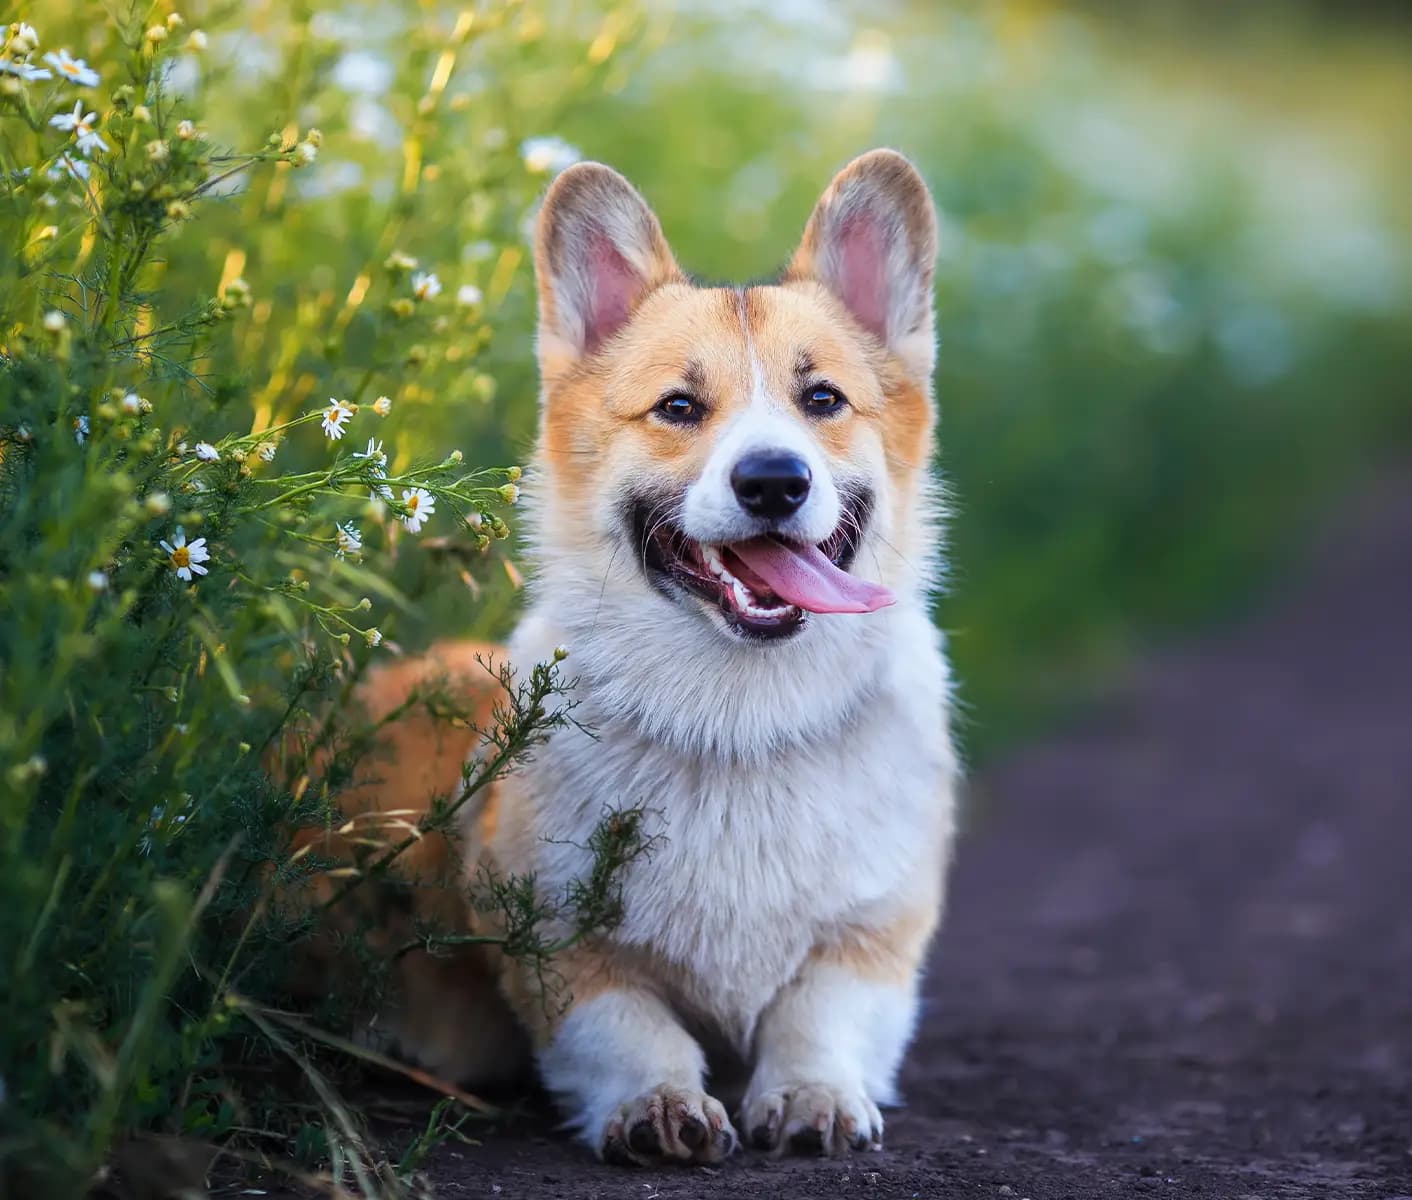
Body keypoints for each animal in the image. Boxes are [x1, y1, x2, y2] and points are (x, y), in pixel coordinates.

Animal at [323, 147, 960, 1157]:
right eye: (679, 407)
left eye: (823, 399)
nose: (774, 481)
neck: (742, 721)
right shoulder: (556, 941)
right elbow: (626, 1025)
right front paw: (659, 1105)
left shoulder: (873, 935)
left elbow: (819, 1013)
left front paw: (813, 1096)